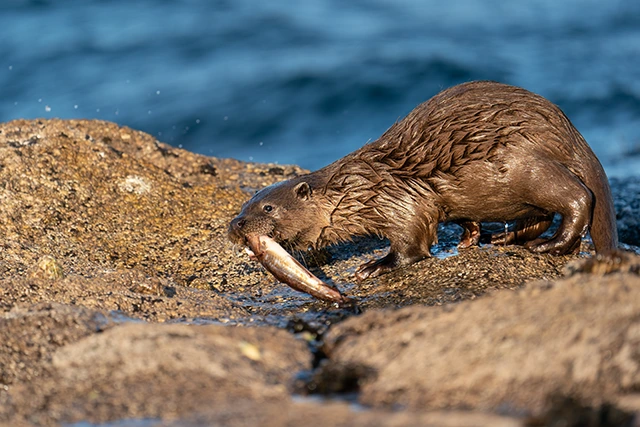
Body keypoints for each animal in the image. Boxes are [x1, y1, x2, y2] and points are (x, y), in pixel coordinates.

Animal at [229, 81, 618, 281]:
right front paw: (470, 235)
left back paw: (551, 245)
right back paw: (505, 238)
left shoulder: (398, 200)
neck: (356, 189)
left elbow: (412, 242)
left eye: (267, 207)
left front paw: (375, 265)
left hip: (525, 165)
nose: (236, 226)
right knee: (540, 215)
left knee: (577, 198)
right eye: (244, 206)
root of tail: (568, 132)